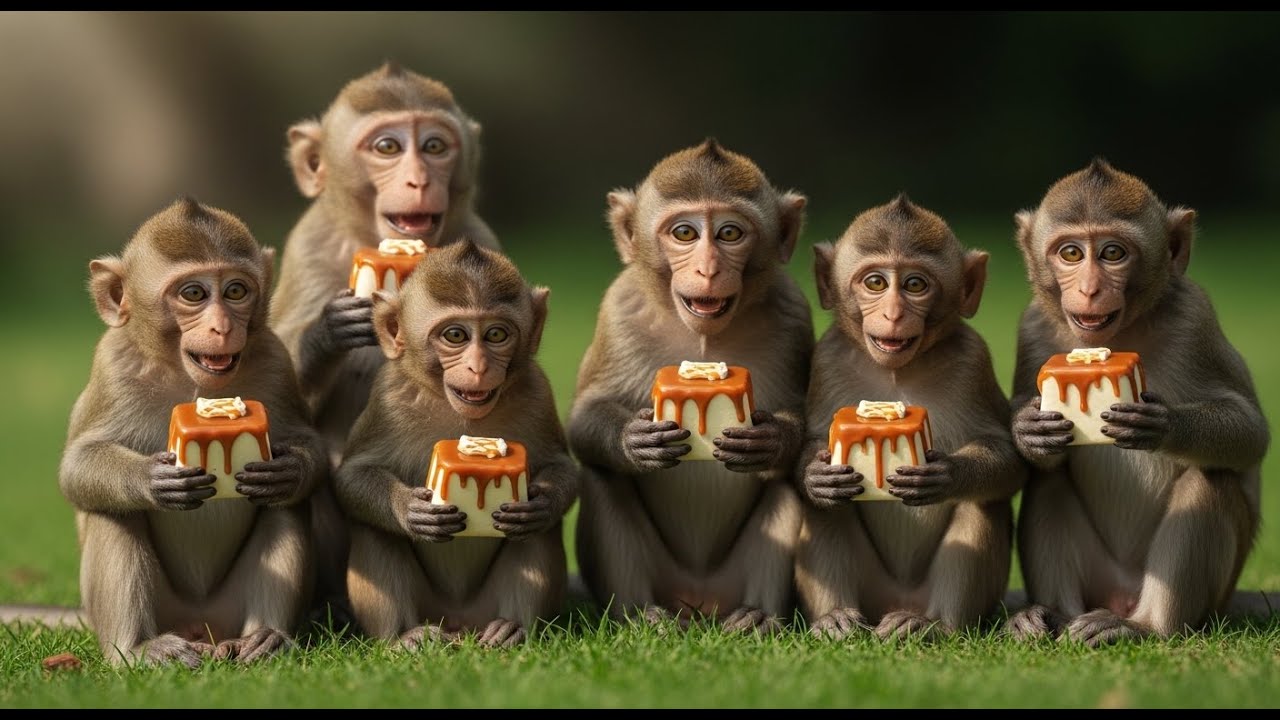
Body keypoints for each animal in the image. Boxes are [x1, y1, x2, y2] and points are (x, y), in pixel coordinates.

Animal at [59, 198, 327, 666]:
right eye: (194, 294)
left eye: (236, 291)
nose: (222, 327)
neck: (191, 381)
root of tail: (201, 625)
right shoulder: (113, 365)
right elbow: (77, 466)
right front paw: (153, 479)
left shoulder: (276, 360)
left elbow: (306, 445)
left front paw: (288, 470)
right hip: (167, 611)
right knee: (113, 512)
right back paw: (140, 648)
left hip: (228, 609)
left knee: (285, 509)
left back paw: (266, 637)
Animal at [334, 240, 575, 648]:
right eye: (456, 336)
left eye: (496, 335)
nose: (478, 367)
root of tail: (460, 623)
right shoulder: (388, 396)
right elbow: (352, 476)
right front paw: (408, 509)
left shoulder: (538, 392)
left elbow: (563, 468)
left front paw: (539, 504)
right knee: (376, 532)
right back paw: (407, 636)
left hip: (483, 607)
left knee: (536, 537)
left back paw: (512, 628)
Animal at [568, 140, 812, 634]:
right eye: (684, 233)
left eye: (730, 233)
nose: (707, 269)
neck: (703, 339)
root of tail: (700, 602)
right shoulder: (619, 309)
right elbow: (584, 418)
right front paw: (634, 440)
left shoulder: (794, 312)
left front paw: (769, 439)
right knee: (603, 479)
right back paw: (643, 615)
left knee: (784, 487)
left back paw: (758, 615)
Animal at [793, 196, 1025, 641]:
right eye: (876, 283)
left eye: (915, 285)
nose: (895, 314)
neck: (897, 373)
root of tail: (895, 601)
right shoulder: (828, 358)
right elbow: (811, 447)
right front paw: (817, 476)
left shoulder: (974, 360)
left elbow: (1006, 458)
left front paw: (946, 474)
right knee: (826, 510)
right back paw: (837, 617)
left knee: (979, 504)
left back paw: (931, 624)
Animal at [1005, 159, 1268, 646]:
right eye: (1071, 254)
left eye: (1112, 253)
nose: (1090, 290)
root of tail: (1120, 596)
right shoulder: (1033, 327)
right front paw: (1028, 430)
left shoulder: (1195, 318)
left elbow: (1250, 432)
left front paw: (1162, 425)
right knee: (1048, 482)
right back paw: (1050, 615)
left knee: (1208, 480)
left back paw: (1143, 626)